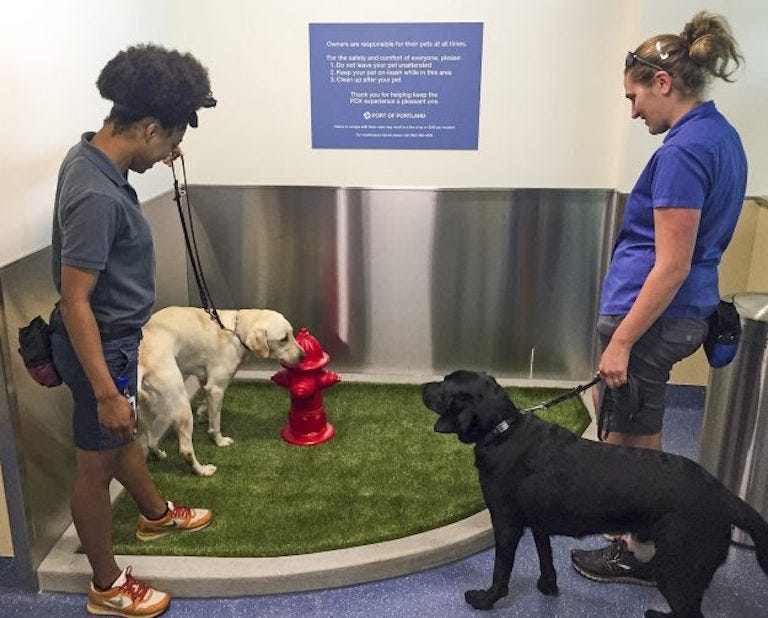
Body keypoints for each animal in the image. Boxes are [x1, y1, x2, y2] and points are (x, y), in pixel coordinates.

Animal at [136, 306, 304, 474]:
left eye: (292, 333)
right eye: (283, 339)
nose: (303, 356)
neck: (236, 331)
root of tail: (141, 364)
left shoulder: (206, 380)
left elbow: (207, 402)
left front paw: (203, 412)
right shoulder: (217, 388)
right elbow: (216, 422)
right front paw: (219, 440)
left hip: (146, 410)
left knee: (151, 441)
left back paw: (158, 454)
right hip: (182, 404)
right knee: (185, 450)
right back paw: (202, 470)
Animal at [424, 370, 764, 616]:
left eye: (443, 385)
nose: (422, 386)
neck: (503, 430)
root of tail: (722, 493)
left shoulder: (506, 523)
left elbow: (501, 571)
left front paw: (486, 599)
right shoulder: (539, 524)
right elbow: (545, 556)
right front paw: (547, 586)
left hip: (679, 570)